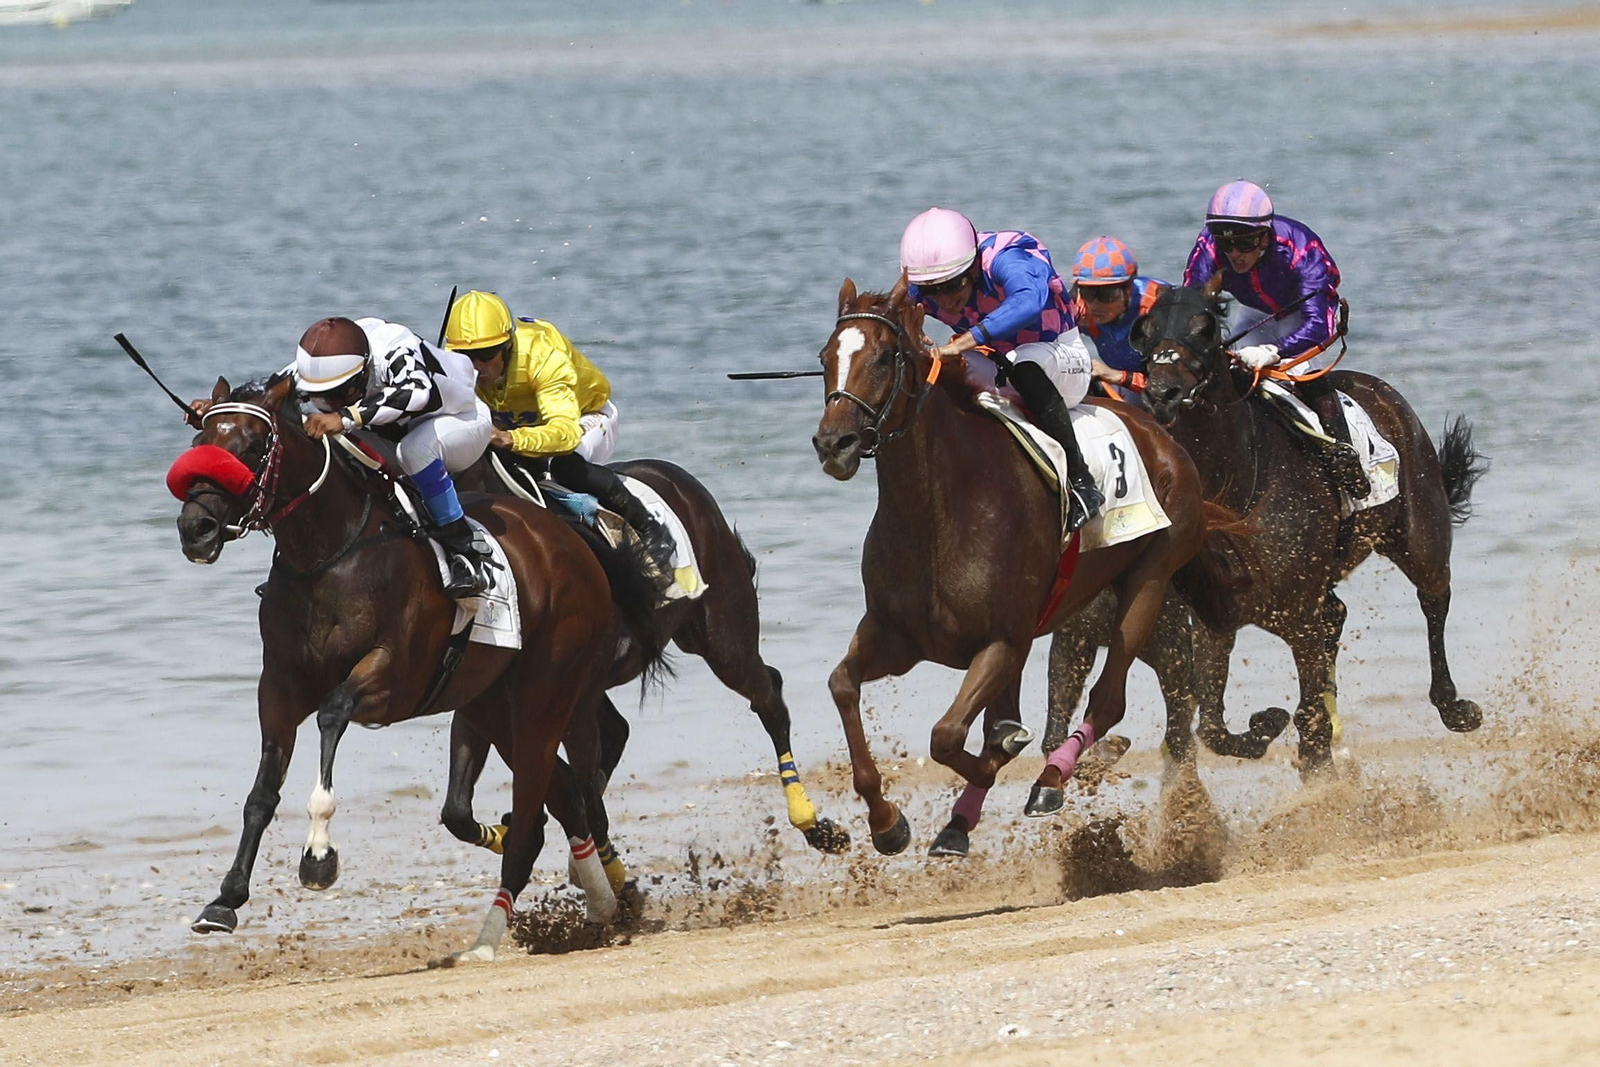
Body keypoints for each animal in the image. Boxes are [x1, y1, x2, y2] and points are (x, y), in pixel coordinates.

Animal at [170, 372, 663, 961]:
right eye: (199, 442)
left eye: (249, 447)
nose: (195, 528)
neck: (331, 556)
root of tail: (572, 540)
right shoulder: (280, 687)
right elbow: (261, 794)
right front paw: (225, 900)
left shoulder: (393, 678)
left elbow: (332, 713)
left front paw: (318, 854)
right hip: (488, 700)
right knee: (565, 796)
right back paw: (601, 901)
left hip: (547, 696)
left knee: (550, 804)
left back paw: (496, 938)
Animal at [810, 275, 1239, 855]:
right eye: (825, 357)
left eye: (882, 357)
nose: (834, 443)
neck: (937, 512)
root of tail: (1161, 433)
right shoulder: (897, 636)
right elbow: (843, 685)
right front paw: (886, 821)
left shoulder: (1004, 641)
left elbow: (950, 736)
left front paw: (1004, 758)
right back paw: (961, 819)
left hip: (1150, 579)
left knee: (1108, 701)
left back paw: (1050, 780)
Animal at [1095, 277, 1487, 772]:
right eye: (1145, 332)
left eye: (1205, 327)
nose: (1162, 393)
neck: (1237, 485)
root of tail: (1385, 393)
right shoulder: (1216, 615)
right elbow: (1214, 728)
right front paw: (1265, 726)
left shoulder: (1300, 612)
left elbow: (1309, 716)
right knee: (1339, 615)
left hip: (1421, 534)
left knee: (1434, 598)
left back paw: (1454, 706)